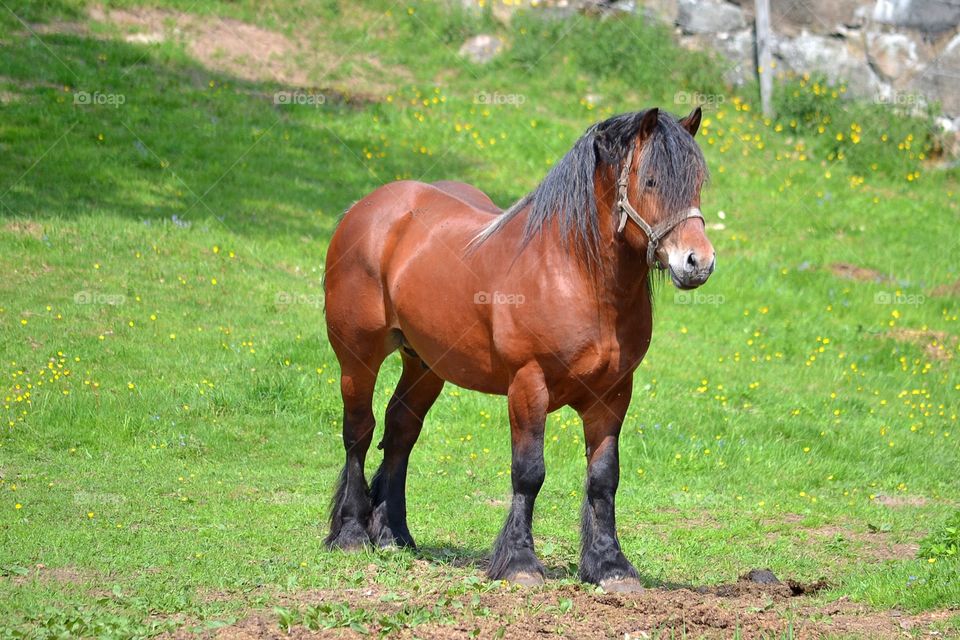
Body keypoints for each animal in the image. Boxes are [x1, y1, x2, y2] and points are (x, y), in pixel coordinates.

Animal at [322, 107, 712, 592]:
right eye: (653, 181)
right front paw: (521, 563)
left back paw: (394, 535)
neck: (572, 273)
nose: (698, 262)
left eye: (698, 182)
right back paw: (352, 534)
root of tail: (366, 209)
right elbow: (529, 473)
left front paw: (610, 565)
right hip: (357, 356)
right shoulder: (529, 385)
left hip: (426, 365)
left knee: (399, 431)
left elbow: (604, 479)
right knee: (359, 432)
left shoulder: (613, 395)